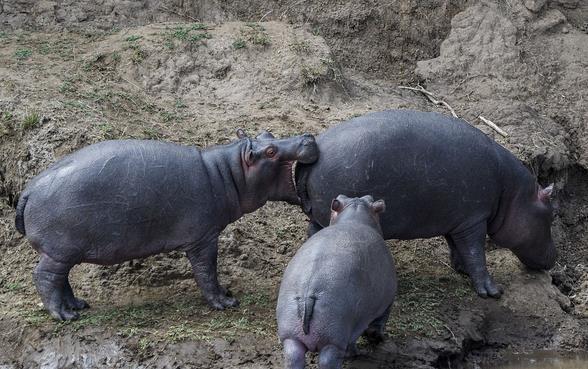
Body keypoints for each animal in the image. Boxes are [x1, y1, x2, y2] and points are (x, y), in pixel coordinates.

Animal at [14, 130, 316, 320]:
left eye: (268, 133)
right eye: (270, 150)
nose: (307, 136)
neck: (228, 172)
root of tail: (27, 190)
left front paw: (227, 294)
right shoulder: (204, 238)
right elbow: (207, 271)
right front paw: (225, 302)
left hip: (62, 252)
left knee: (60, 278)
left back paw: (77, 306)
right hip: (59, 250)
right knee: (44, 277)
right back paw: (64, 315)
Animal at [278, 194, 398, 366]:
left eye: (342, 197)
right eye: (371, 200)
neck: (355, 214)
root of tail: (308, 292)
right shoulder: (386, 302)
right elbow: (375, 327)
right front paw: (377, 340)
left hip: (291, 338)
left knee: (293, 357)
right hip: (333, 342)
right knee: (329, 359)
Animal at [296, 108, 560, 296]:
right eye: (551, 215)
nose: (555, 257)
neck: (512, 193)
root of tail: (313, 155)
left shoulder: (457, 221)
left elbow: (458, 248)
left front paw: (461, 270)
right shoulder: (474, 220)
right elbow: (476, 253)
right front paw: (492, 291)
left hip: (322, 215)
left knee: (313, 232)